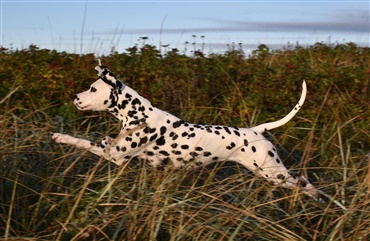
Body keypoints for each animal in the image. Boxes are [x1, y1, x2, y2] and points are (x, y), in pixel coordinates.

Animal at [51, 60, 318, 200]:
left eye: (93, 89)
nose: (74, 97)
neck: (139, 114)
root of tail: (256, 130)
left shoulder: (114, 156)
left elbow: (81, 141)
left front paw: (60, 137)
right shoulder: (114, 149)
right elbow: (99, 138)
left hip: (274, 174)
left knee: (306, 183)